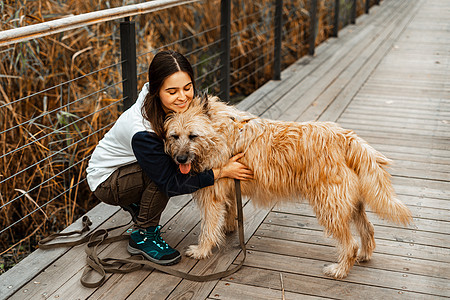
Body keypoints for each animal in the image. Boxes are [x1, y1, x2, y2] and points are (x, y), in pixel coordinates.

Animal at [165, 95, 412, 278]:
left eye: (193, 136)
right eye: (174, 136)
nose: (180, 159)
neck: (219, 130)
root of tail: (346, 138)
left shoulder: (212, 193)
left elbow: (207, 227)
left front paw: (201, 250)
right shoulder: (228, 186)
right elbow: (229, 210)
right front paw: (229, 227)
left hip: (329, 204)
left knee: (349, 244)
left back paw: (340, 270)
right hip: (350, 203)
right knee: (367, 229)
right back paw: (364, 254)